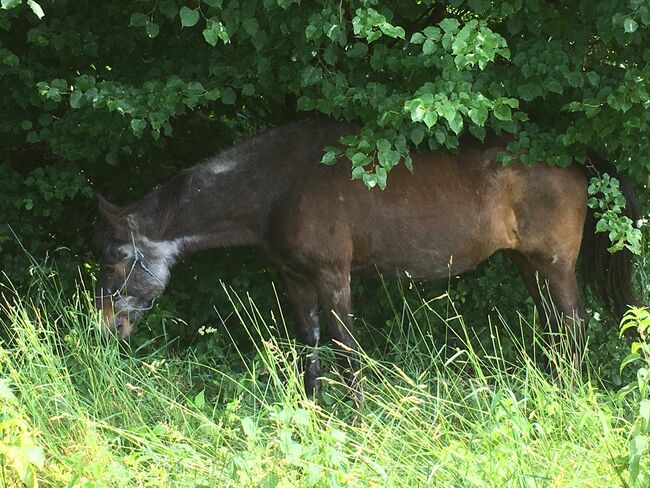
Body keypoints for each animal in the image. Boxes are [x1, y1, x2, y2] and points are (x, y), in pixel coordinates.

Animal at [93, 116, 640, 398]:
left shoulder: (335, 277)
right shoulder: (296, 280)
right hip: (528, 265)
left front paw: (354, 424)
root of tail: (575, 157)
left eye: (116, 260)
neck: (282, 185)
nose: (103, 329)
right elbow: (309, 348)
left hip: (555, 265)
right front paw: (311, 413)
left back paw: (569, 394)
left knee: (574, 324)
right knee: (554, 327)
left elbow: (348, 352)